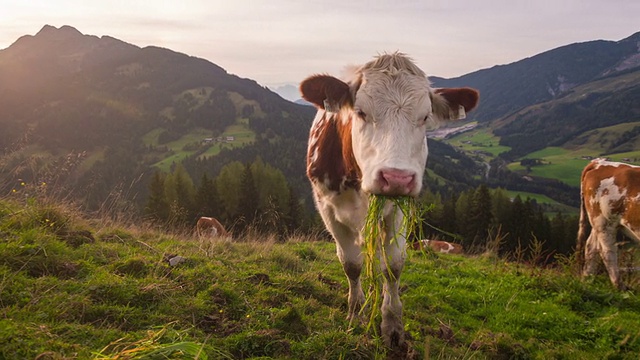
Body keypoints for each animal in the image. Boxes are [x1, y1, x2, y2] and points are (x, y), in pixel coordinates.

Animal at [302, 52, 480, 348]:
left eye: (425, 117)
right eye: (360, 112)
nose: (396, 177)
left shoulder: (397, 210)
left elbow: (393, 266)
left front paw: (392, 325)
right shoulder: (327, 208)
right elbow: (351, 264)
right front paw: (356, 314)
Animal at [576, 158, 640, 290]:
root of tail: (598, 163)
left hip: (597, 222)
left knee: (591, 247)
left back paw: (586, 281)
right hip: (605, 222)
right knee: (607, 251)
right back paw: (619, 286)